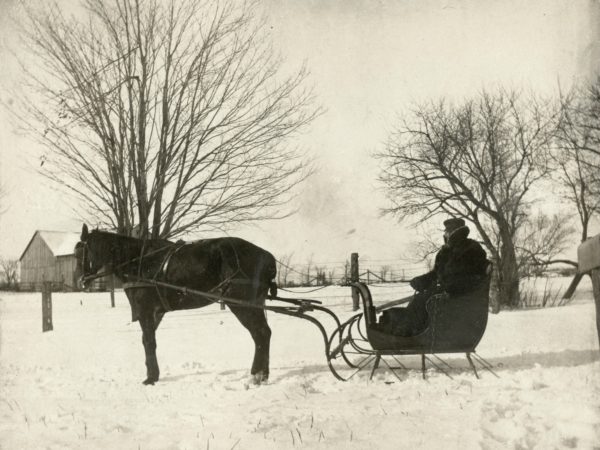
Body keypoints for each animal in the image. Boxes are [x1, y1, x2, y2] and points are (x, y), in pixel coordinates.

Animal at [74, 223, 276, 384]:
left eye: (79, 253)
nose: (80, 281)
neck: (139, 261)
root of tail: (267, 257)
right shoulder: (156, 312)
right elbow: (147, 341)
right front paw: (153, 373)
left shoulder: (146, 311)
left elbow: (149, 342)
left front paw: (151, 377)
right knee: (264, 333)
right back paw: (262, 374)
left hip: (242, 305)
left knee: (260, 334)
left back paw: (257, 375)